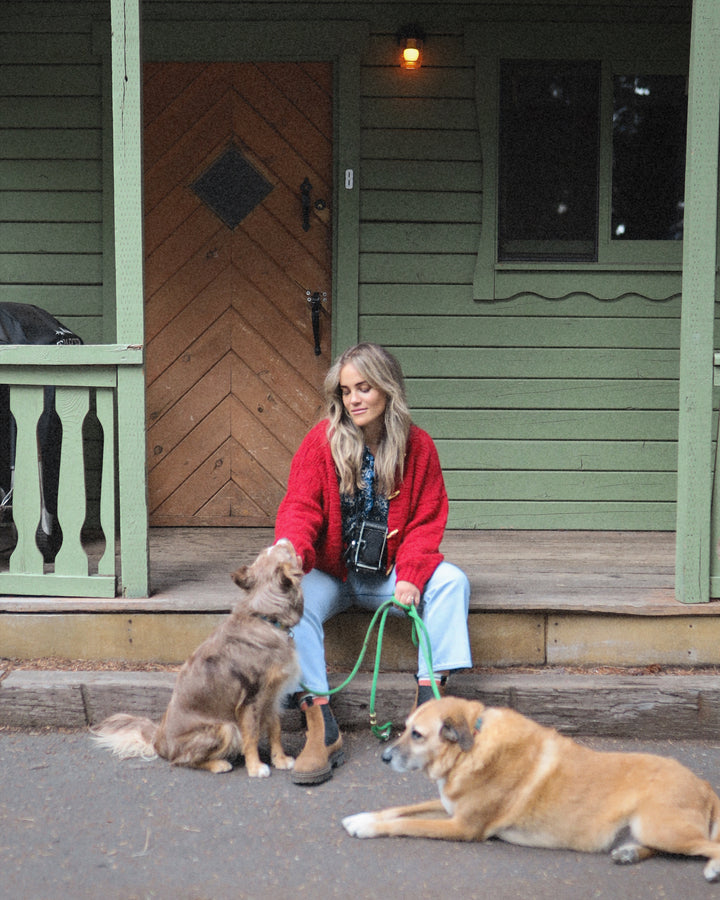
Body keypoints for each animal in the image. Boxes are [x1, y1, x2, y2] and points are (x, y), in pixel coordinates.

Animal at [90, 536, 304, 776]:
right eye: (284, 550)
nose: (283, 538)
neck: (267, 618)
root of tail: (158, 741)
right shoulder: (251, 701)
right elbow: (252, 736)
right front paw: (256, 767)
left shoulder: (272, 696)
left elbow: (275, 730)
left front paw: (280, 760)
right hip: (226, 728)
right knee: (181, 761)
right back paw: (218, 764)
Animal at [340, 696, 720, 880]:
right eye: (404, 728)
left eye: (417, 735)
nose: (383, 757)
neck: (472, 744)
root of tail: (703, 784)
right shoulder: (449, 808)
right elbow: (400, 809)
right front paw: (362, 816)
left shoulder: (462, 827)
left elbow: (405, 822)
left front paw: (367, 827)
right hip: (650, 830)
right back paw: (628, 853)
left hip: (661, 826)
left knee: (710, 847)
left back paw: (712, 868)